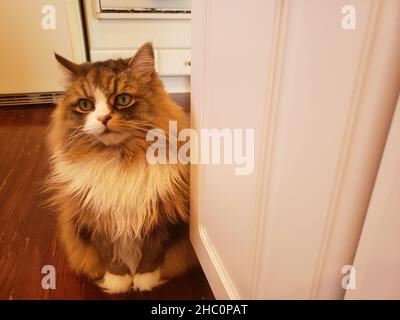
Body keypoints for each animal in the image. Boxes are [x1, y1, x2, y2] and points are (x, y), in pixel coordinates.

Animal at [46, 43, 198, 296]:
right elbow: (110, 255)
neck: (119, 158)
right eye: (86, 105)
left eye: (123, 99)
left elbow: (152, 254)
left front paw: (145, 280)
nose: (103, 118)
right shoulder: (96, 218)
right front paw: (119, 282)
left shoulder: (160, 217)